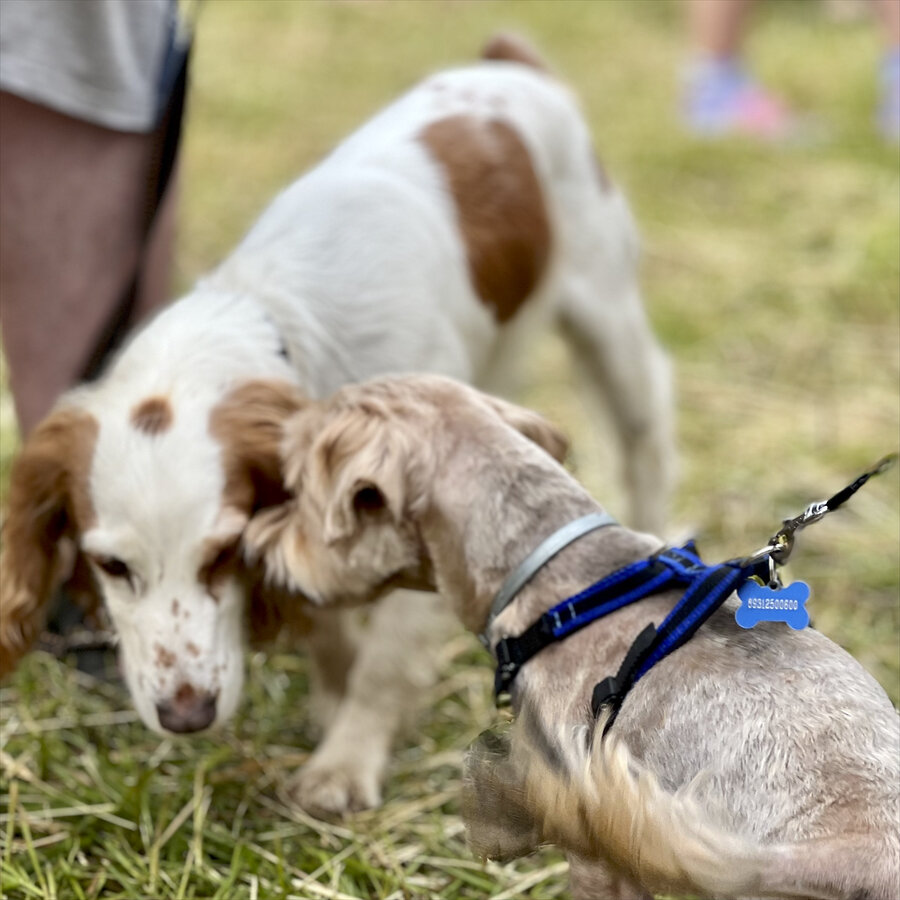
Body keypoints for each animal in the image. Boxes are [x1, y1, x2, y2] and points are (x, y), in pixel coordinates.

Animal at [0, 37, 672, 816]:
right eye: (111, 566)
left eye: (220, 554)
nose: (185, 715)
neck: (281, 326)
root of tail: (507, 62)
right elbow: (325, 619)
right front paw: (332, 697)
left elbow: (383, 662)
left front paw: (346, 762)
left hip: (607, 320)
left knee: (646, 435)